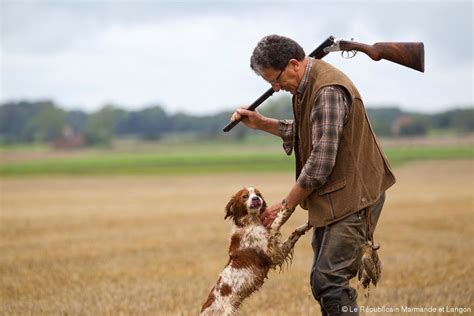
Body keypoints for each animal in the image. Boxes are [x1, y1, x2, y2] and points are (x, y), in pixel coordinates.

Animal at [200, 186, 312, 314]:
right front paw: (285, 209)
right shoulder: (271, 252)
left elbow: (294, 234)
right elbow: (275, 224)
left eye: (258, 194)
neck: (250, 223)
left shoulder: (277, 252)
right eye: (245, 196)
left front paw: (306, 225)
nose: (256, 199)